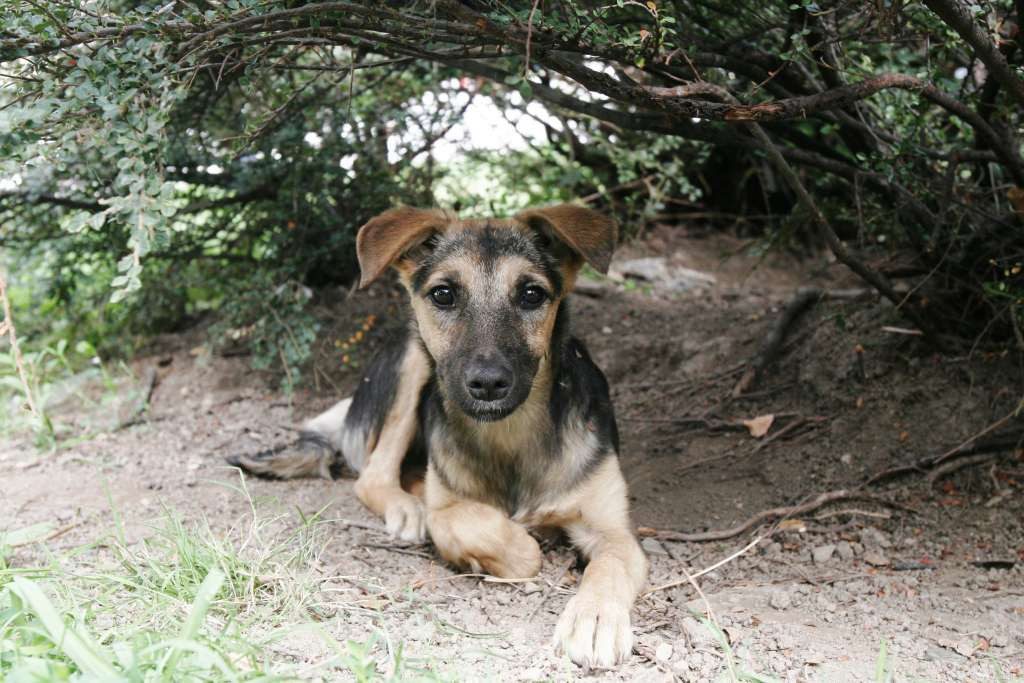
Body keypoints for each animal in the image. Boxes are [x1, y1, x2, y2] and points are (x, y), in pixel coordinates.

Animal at [232, 204, 647, 667]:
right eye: (444, 294)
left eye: (531, 294)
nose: (488, 383)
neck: (511, 433)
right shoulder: (450, 509)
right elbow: (501, 539)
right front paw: (498, 551)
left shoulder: (614, 531)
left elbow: (609, 565)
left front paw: (594, 618)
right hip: (414, 361)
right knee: (373, 475)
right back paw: (407, 507)